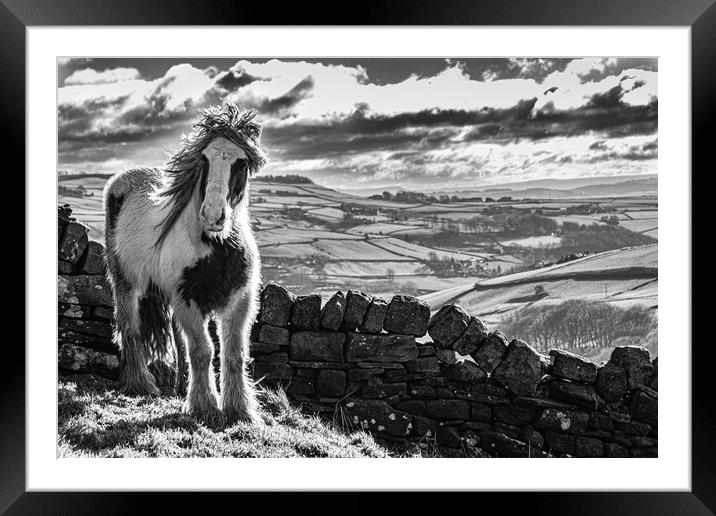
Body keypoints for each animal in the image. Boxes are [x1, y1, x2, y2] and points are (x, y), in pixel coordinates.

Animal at [103, 101, 266, 424]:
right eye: (204, 160)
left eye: (241, 163)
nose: (212, 215)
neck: (216, 248)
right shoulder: (187, 300)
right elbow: (203, 351)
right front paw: (205, 407)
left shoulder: (240, 300)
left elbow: (234, 354)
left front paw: (239, 409)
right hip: (125, 282)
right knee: (130, 328)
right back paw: (141, 384)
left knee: (177, 340)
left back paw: (180, 387)